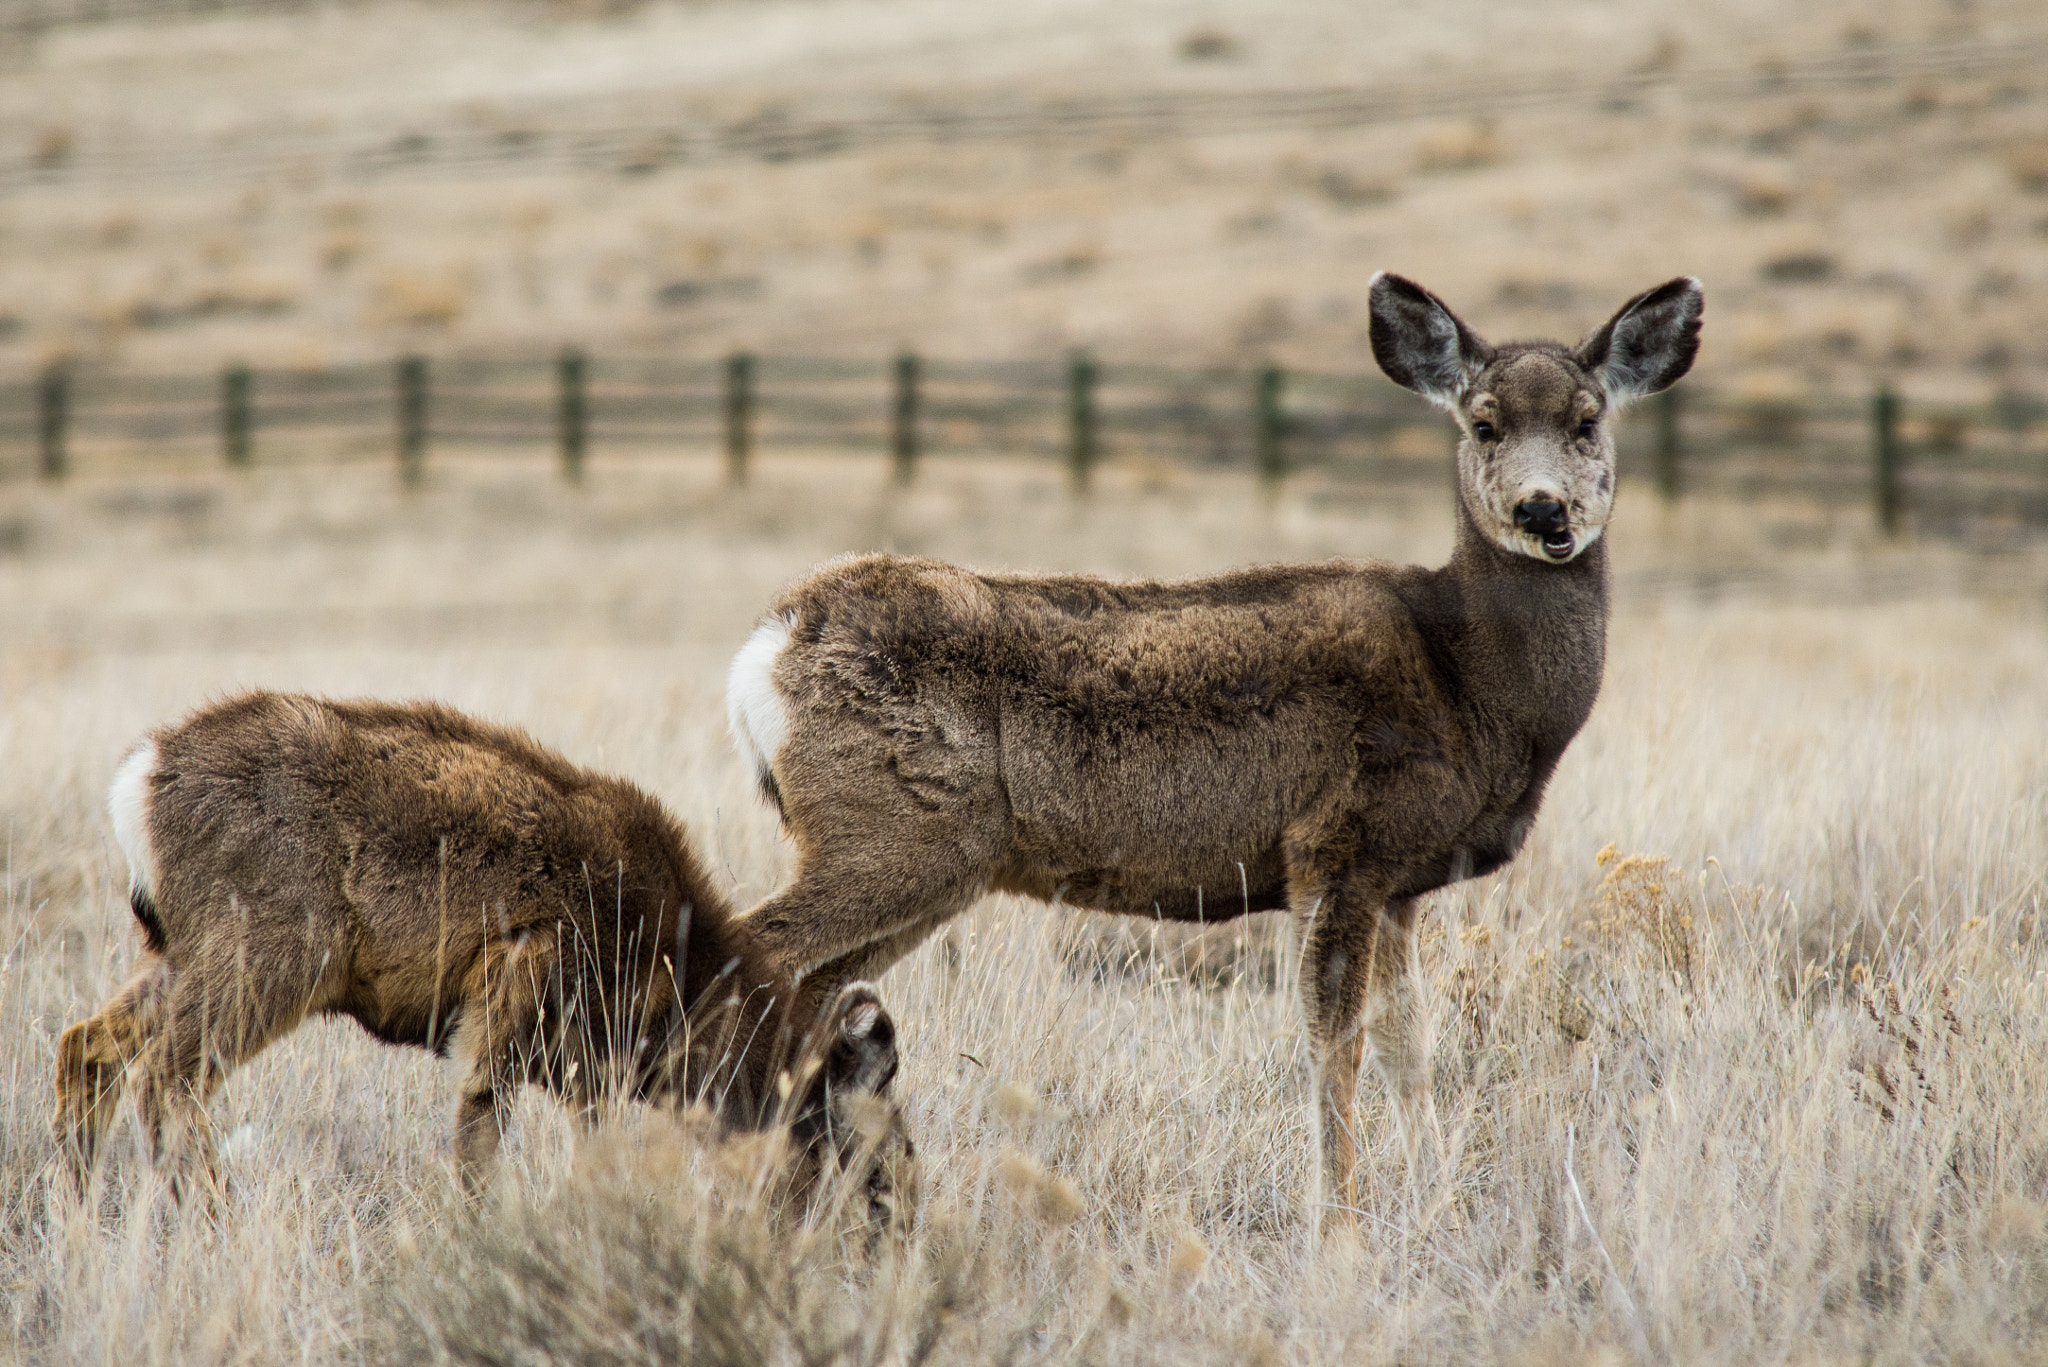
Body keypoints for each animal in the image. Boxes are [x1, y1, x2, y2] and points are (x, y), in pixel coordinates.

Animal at [53, 691, 915, 1229]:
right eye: (858, 1124)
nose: (898, 1216)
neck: (677, 990)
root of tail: (138, 782)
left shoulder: (579, 1067)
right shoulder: (518, 984)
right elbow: (485, 1134)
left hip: (186, 952)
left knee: (85, 1045)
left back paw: (76, 1216)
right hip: (271, 951)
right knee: (166, 1077)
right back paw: (213, 1220)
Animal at [723, 272, 1702, 1233]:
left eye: (1587, 419)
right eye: (1485, 421)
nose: (1543, 509)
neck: (1466, 680)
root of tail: (769, 644)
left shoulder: (1399, 882)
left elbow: (1409, 1050)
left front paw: (1434, 1199)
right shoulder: (1335, 845)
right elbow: (1333, 1048)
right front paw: (1338, 1225)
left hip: (929, 863)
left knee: (814, 993)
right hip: (895, 834)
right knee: (753, 947)